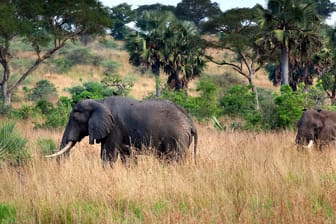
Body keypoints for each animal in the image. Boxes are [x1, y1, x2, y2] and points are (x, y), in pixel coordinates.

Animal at [44, 96, 197, 164]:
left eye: (75, 120)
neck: (99, 102)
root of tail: (190, 122)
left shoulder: (114, 129)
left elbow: (107, 157)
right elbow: (127, 158)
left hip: (177, 137)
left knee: (173, 159)